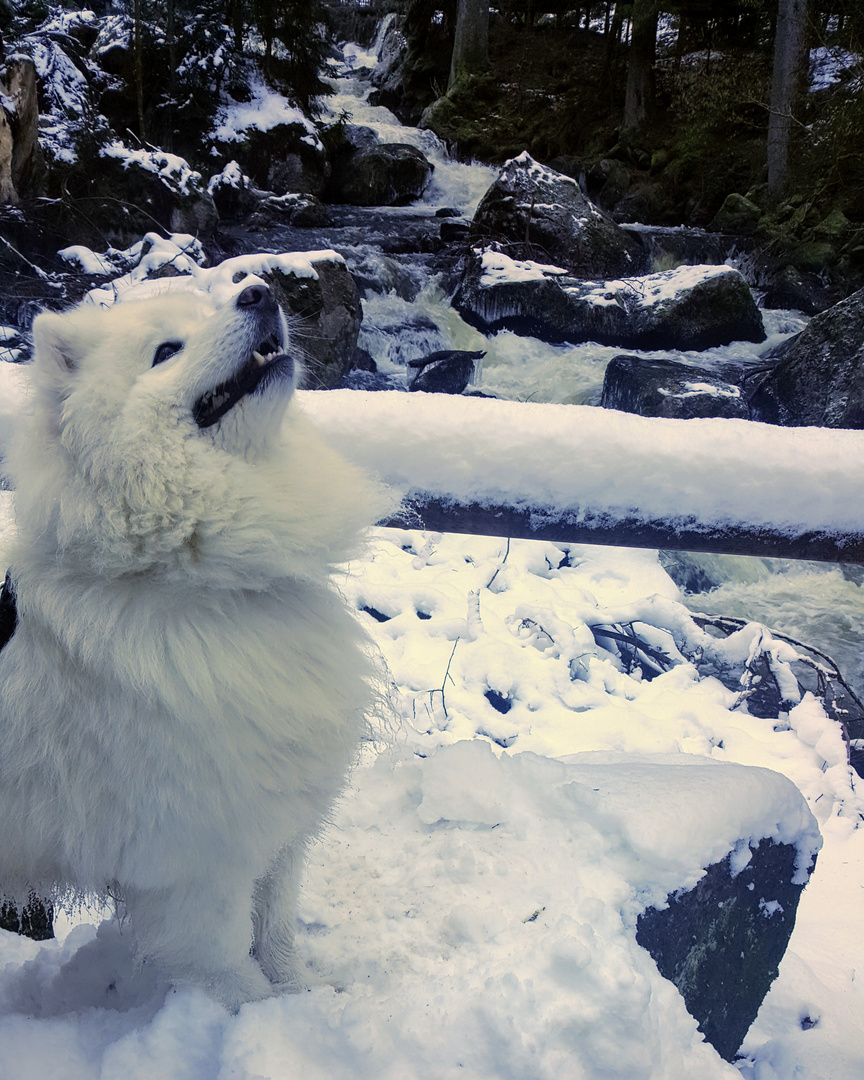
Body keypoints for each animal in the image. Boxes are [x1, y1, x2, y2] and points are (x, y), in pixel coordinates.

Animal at [0, 280, 390, 1010]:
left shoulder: (273, 826)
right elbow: (233, 968)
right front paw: (266, 1021)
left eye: (208, 311)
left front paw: (307, 996)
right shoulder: (197, 865)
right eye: (165, 351)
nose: (260, 290)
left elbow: (277, 931)